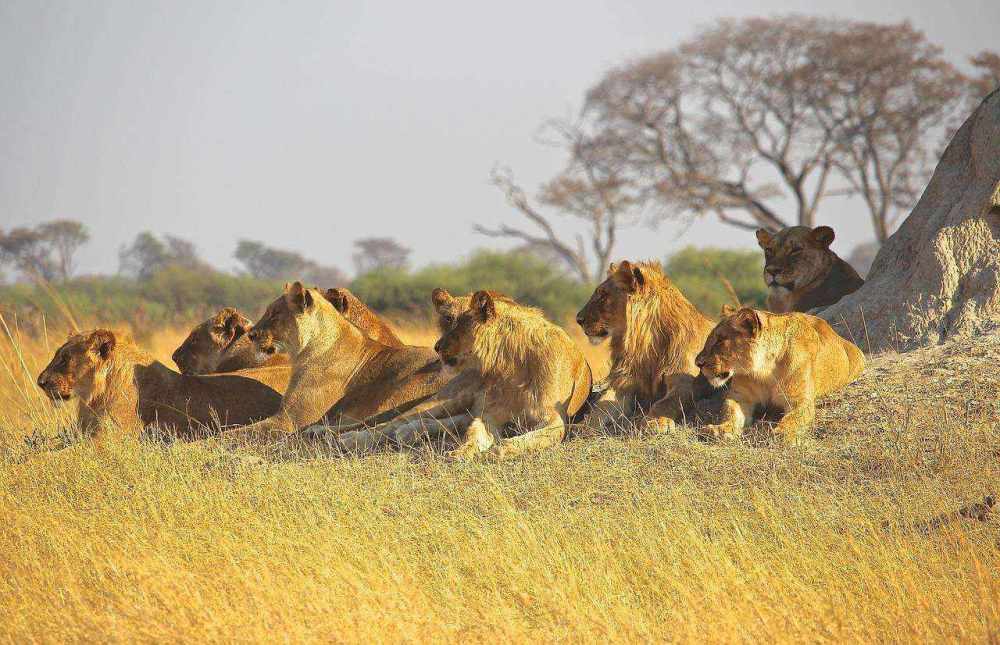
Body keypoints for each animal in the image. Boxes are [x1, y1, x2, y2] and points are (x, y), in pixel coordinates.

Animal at [580, 260, 720, 430]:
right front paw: (582, 426)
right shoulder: (624, 382)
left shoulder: (686, 381)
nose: (578, 319)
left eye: (603, 295)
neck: (646, 345)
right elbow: (601, 407)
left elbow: (666, 403)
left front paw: (656, 421)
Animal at [696, 306, 868, 442]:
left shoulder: (800, 400)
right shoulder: (740, 396)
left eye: (720, 340)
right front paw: (720, 429)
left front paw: (781, 432)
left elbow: (794, 418)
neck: (764, 371)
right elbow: (730, 412)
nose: (697, 363)